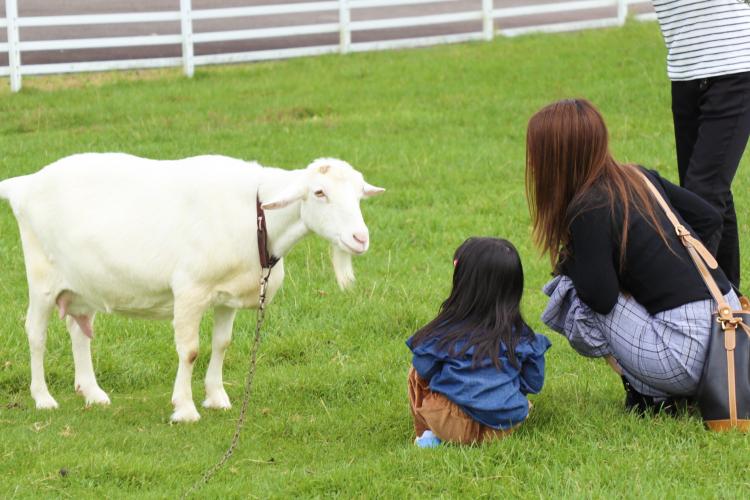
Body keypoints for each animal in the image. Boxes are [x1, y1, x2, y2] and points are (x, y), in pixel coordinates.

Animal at [0, 153, 384, 422]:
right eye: (319, 192)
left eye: (359, 194)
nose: (360, 238)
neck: (256, 216)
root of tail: (23, 185)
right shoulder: (189, 292)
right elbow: (190, 351)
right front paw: (184, 408)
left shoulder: (227, 296)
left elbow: (222, 344)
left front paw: (217, 398)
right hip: (42, 279)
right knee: (36, 333)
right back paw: (43, 398)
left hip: (82, 284)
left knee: (79, 330)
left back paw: (93, 392)